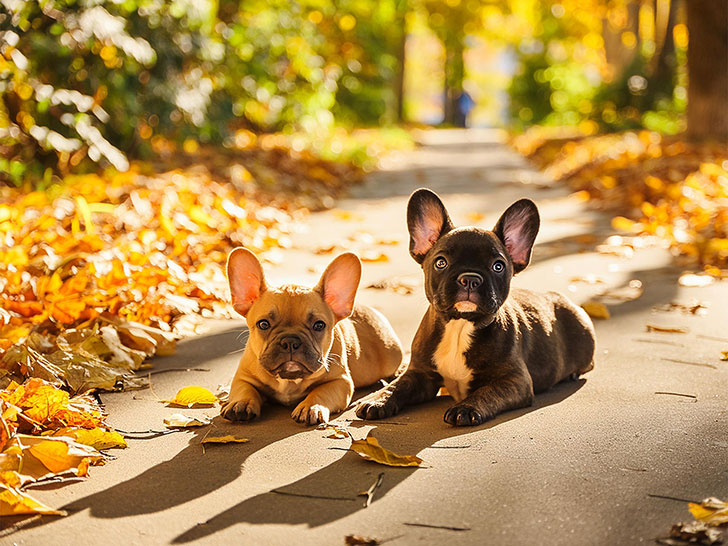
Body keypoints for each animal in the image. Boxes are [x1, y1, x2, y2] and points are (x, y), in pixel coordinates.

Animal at [222, 248, 404, 424]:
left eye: (319, 325)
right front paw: (241, 403)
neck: (289, 380)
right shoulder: (242, 377)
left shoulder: (340, 381)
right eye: (263, 324)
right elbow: (245, 389)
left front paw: (310, 406)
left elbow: (321, 391)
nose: (290, 341)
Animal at [354, 188, 596, 424]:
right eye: (440, 262)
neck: (459, 326)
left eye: (498, 266)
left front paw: (466, 408)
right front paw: (377, 400)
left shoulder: (514, 380)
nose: (470, 278)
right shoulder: (421, 374)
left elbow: (488, 392)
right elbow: (398, 386)